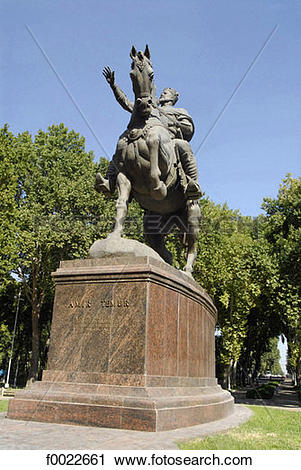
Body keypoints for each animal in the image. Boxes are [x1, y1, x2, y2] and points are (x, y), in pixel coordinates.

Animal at [95, 46, 199, 274]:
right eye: (132, 73)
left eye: (151, 74)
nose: (144, 103)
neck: (141, 124)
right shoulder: (124, 174)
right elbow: (121, 204)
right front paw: (114, 237)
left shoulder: (164, 161)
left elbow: (159, 143)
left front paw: (158, 187)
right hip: (154, 225)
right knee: (162, 249)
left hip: (192, 215)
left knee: (192, 244)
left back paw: (186, 271)